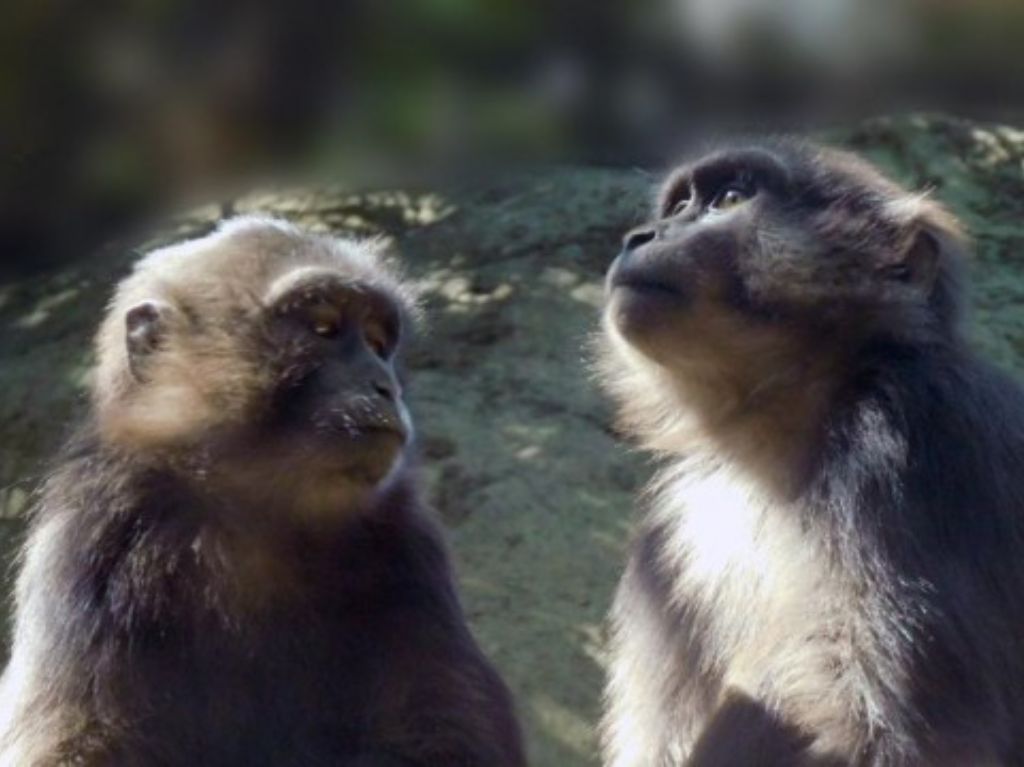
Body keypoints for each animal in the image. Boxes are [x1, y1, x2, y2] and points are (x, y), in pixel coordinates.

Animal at [0, 215, 524, 765]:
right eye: (323, 328)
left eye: (377, 342)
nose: (385, 385)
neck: (256, 517)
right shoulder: (95, 528)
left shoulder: (409, 544)